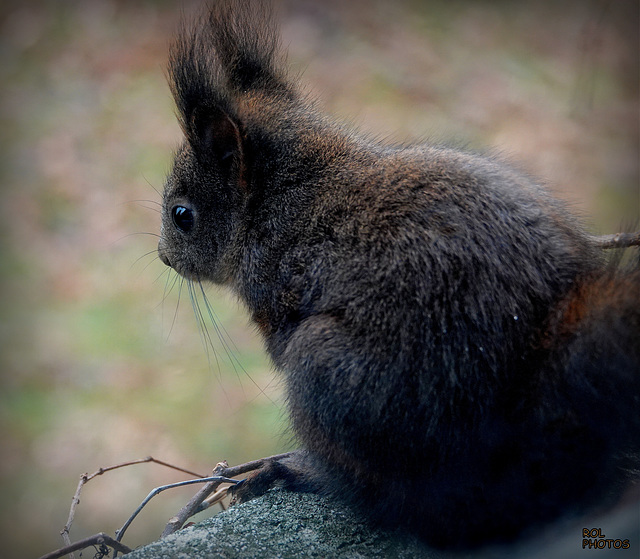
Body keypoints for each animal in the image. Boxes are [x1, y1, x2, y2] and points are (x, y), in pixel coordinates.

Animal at [156, 0, 640, 552]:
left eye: (182, 214)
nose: (164, 257)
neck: (283, 198)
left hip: (333, 374)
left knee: (408, 505)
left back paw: (299, 472)